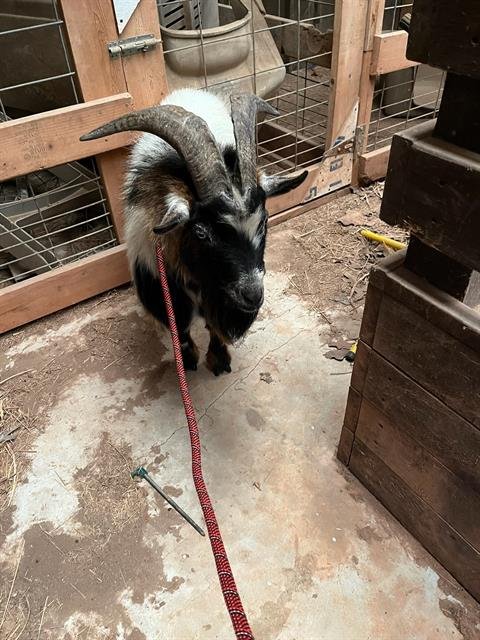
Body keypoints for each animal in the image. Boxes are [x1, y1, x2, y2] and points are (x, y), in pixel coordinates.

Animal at [81, 89, 307, 375]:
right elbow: (181, 328)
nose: (253, 295)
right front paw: (188, 361)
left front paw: (219, 360)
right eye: (201, 232)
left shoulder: (221, 297)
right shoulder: (160, 284)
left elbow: (215, 326)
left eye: (264, 221)